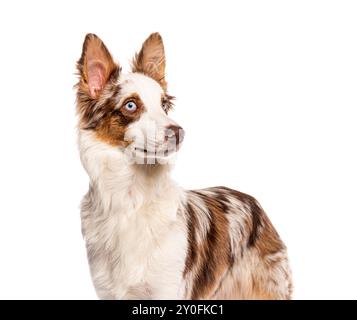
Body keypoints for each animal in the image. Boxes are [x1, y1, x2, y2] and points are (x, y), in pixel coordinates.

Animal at [73, 32, 290, 300]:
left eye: (164, 105)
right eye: (131, 105)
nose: (179, 132)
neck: (132, 198)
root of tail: (251, 199)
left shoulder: (167, 288)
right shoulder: (108, 290)